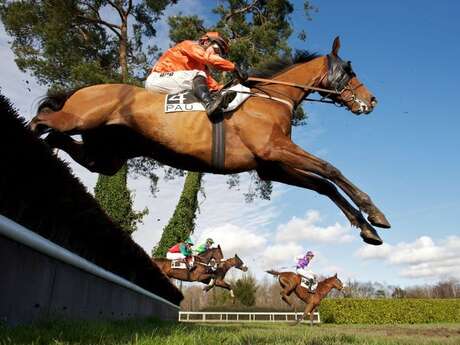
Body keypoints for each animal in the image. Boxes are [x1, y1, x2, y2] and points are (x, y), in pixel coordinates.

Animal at [28, 37, 388, 245]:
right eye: (349, 71)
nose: (372, 100)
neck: (271, 98)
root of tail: (84, 89)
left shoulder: (271, 165)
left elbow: (324, 185)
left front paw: (367, 228)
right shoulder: (275, 150)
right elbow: (330, 169)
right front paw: (376, 213)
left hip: (106, 155)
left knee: (59, 138)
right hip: (79, 120)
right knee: (42, 120)